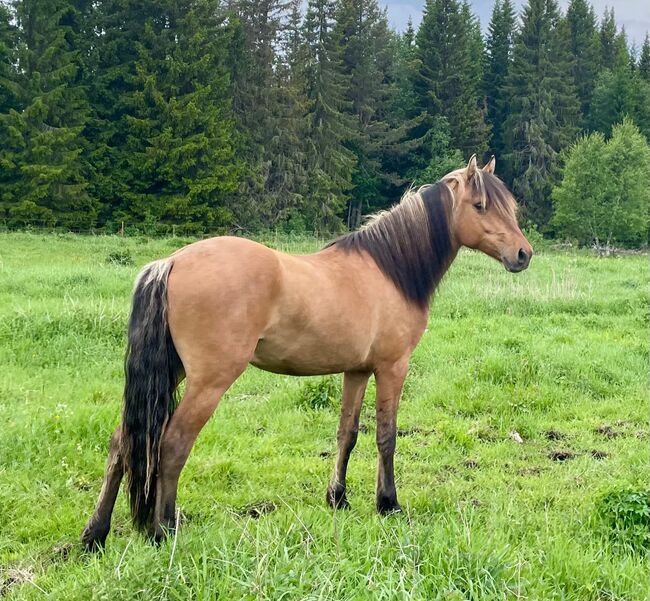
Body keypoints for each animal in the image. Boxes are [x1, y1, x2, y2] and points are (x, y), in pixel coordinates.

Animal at [81, 155, 532, 548]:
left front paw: (338, 498)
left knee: (123, 442)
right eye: (480, 205)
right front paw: (388, 504)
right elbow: (386, 436)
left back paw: (95, 535)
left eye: (509, 206)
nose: (523, 254)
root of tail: (170, 262)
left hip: (174, 373)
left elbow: (347, 434)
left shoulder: (357, 370)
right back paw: (163, 531)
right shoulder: (392, 367)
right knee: (172, 445)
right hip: (208, 382)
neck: (390, 271)